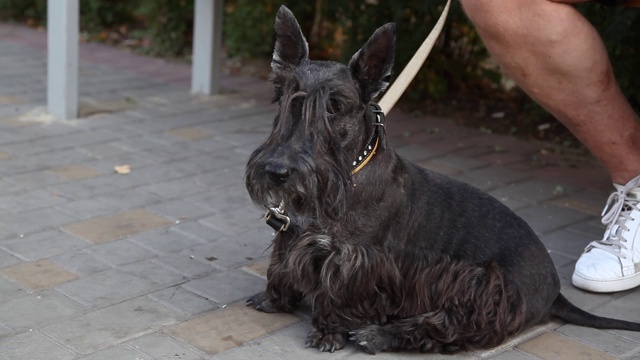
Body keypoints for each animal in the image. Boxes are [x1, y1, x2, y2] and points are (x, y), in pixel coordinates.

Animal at [244, 5, 640, 354]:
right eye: (288, 101)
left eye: (334, 107)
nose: (277, 171)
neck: (351, 170)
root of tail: (554, 289)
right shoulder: (294, 235)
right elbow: (282, 265)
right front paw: (273, 298)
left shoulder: (357, 258)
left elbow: (340, 292)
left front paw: (328, 330)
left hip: (479, 289)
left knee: (446, 329)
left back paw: (380, 335)